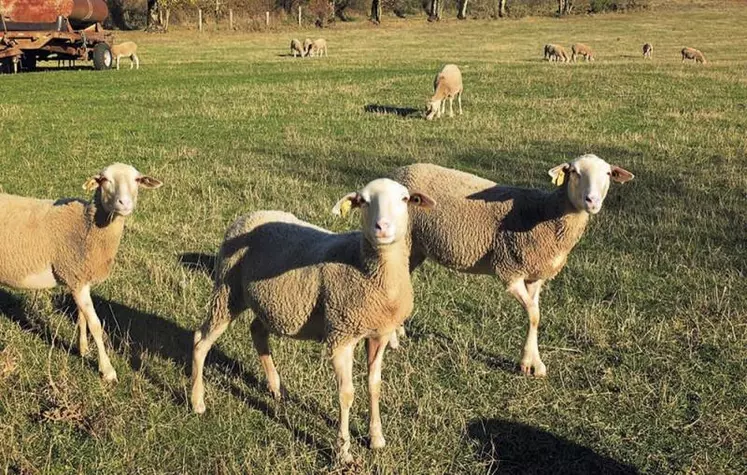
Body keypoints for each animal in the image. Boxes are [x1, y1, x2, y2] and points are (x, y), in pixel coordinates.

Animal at [0, 164, 162, 384]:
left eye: (137, 180)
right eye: (104, 180)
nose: (125, 203)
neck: (87, 225)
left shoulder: (79, 278)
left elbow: (81, 317)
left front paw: (83, 348)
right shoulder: (75, 276)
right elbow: (95, 324)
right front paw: (107, 370)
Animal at [190, 178, 438, 462]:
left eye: (405, 199)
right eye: (363, 201)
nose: (382, 227)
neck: (366, 267)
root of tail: (247, 216)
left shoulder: (380, 333)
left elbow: (374, 385)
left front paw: (376, 438)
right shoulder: (341, 335)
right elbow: (346, 394)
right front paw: (343, 451)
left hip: (268, 302)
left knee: (257, 331)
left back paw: (276, 388)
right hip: (228, 290)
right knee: (201, 340)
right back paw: (197, 402)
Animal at [388, 156, 636, 380]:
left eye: (607, 174)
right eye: (574, 172)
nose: (592, 201)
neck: (545, 213)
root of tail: (398, 172)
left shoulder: (535, 276)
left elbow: (536, 314)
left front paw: (534, 363)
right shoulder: (510, 270)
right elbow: (533, 314)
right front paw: (527, 362)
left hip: (416, 248)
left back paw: (398, 330)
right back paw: (392, 339)